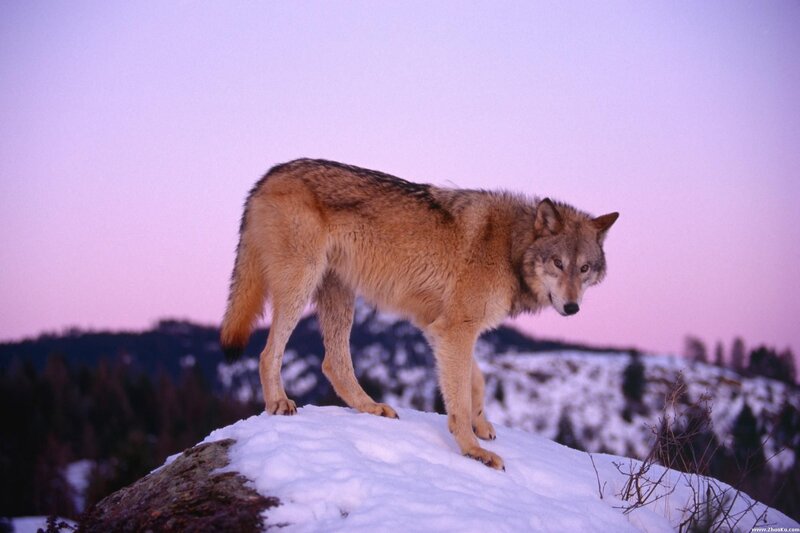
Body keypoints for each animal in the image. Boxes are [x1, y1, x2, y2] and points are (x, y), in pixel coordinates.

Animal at [221, 159, 618, 469]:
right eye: (558, 263)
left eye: (584, 268)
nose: (572, 307)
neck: (510, 247)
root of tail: (269, 175)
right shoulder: (455, 330)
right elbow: (460, 397)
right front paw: (472, 450)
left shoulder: (440, 328)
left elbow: (476, 380)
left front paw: (481, 426)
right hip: (300, 285)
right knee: (267, 353)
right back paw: (278, 403)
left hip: (339, 295)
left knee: (333, 363)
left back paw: (371, 408)